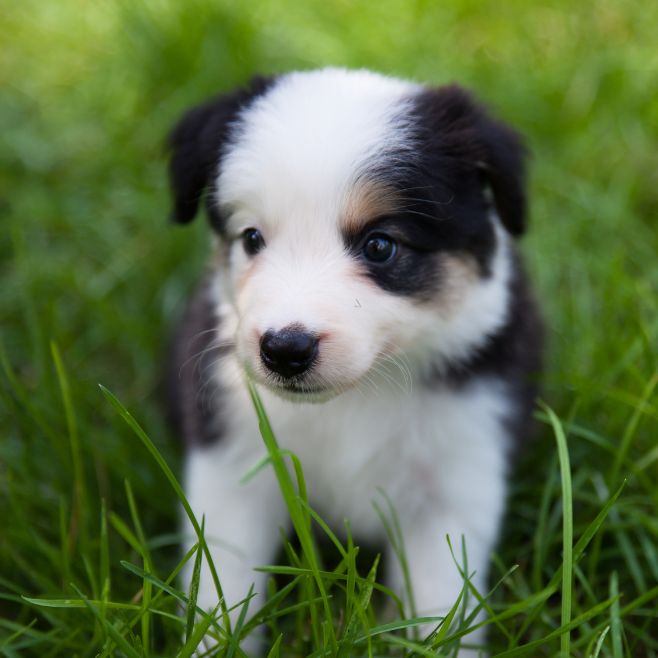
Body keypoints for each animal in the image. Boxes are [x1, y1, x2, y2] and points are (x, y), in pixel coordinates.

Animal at [167, 66, 540, 652]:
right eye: (252, 238)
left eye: (380, 245)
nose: (284, 349)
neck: (359, 395)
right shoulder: (233, 465)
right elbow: (222, 586)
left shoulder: (456, 478)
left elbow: (439, 607)